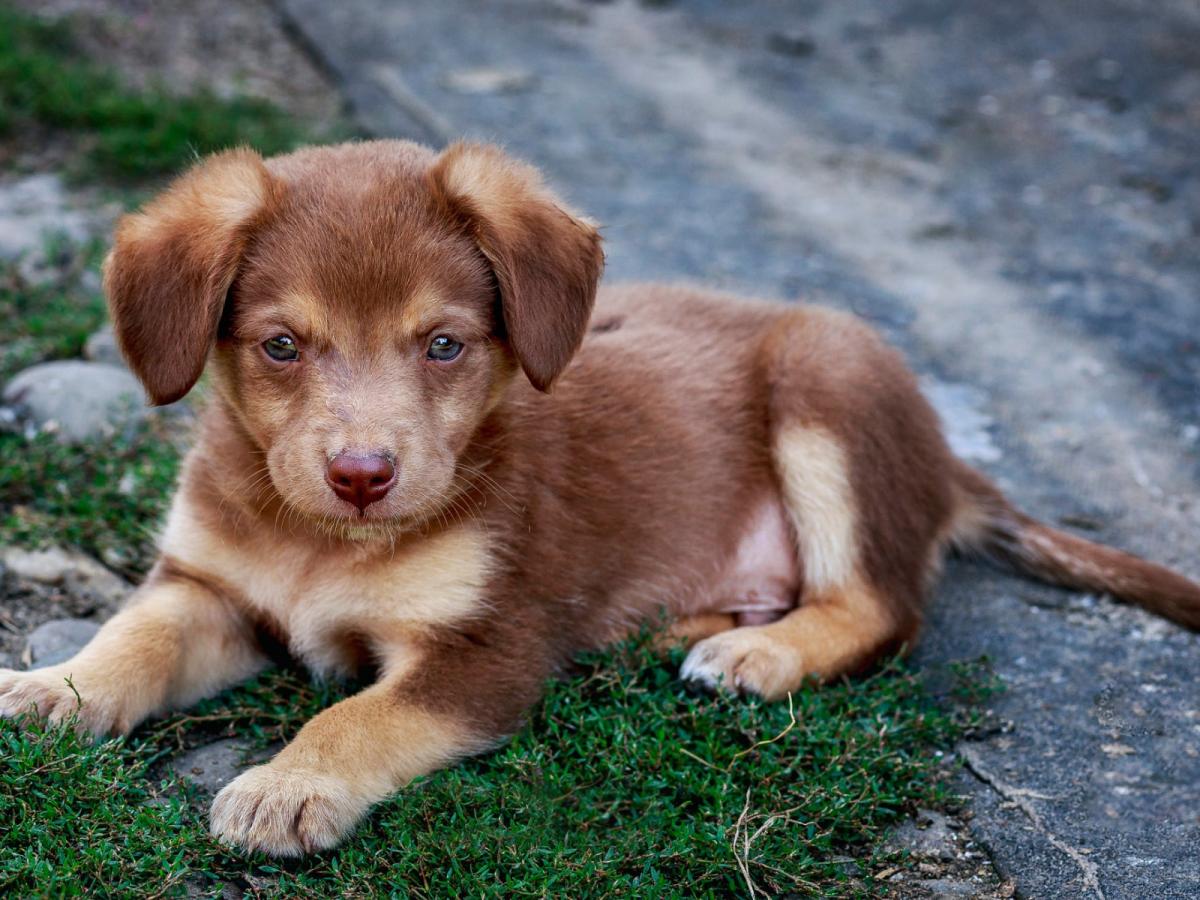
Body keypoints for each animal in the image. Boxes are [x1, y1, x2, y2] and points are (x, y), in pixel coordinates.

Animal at [2, 137, 1200, 854]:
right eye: (282, 346)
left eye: (444, 344)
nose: (362, 475)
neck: (320, 544)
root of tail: (949, 459)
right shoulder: (206, 584)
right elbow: (134, 640)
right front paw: (52, 688)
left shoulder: (487, 651)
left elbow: (358, 715)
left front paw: (289, 785)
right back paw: (681, 630)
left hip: (827, 376)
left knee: (881, 606)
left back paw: (757, 657)